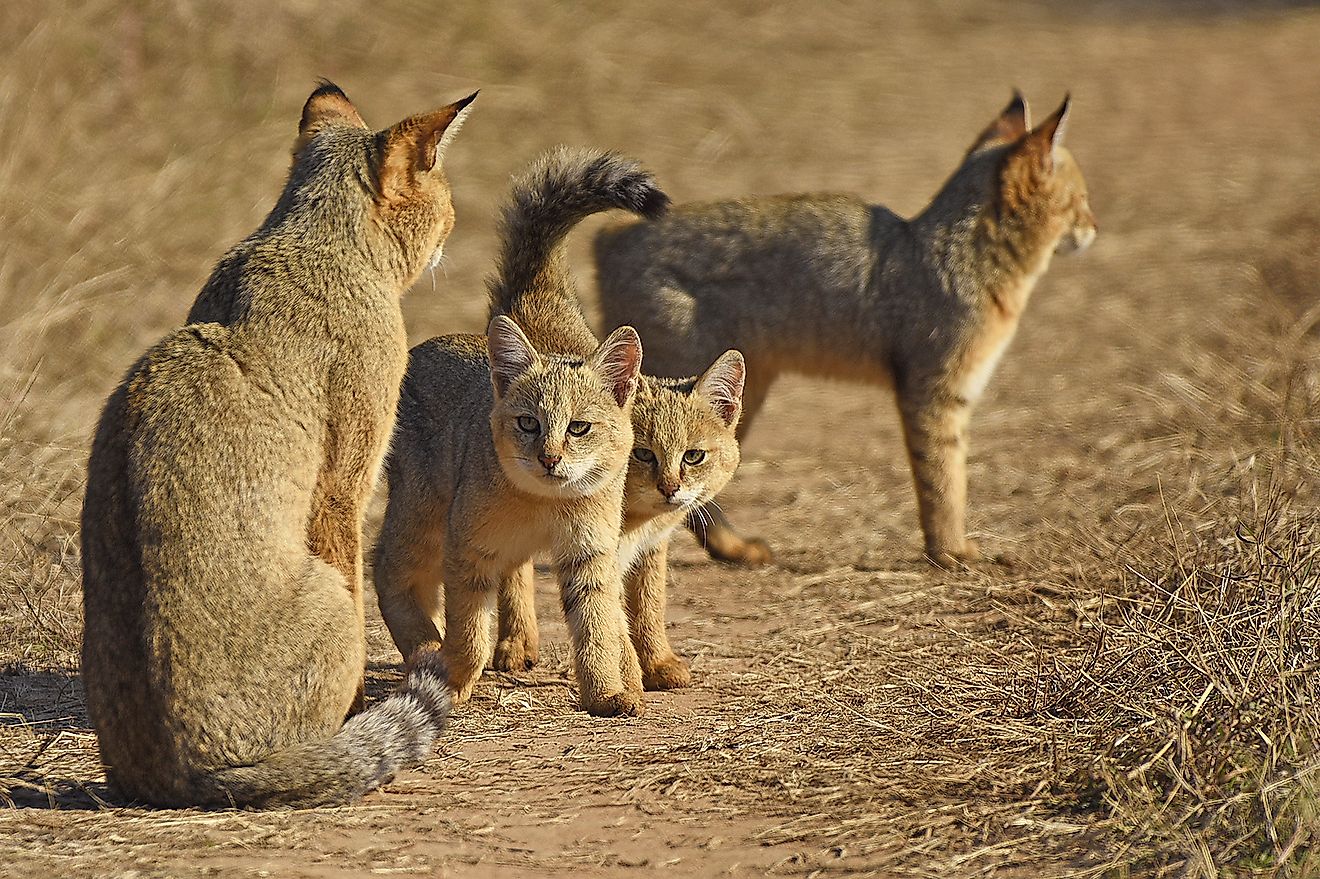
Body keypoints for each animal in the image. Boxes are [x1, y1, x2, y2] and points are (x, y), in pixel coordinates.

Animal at [81, 85, 475, 802]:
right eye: (444, 198)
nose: (454, 225)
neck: (304, 237)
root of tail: (184, 777)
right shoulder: (342, 484)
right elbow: (357, 581)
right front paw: (359, 714)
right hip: (322, 592)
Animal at [477, 147, 749, 686]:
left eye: (694, 456)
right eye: (643, 454)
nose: (670, 489)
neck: (637, 520)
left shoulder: (649, 549)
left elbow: (647, 607)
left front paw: (658, 662)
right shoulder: (601, 550)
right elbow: (611, 622)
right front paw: (626, 675)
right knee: (515, 565)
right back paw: (516, 643)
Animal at [596, 92, 1092, 564]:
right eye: (1080, 201)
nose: (1093, 227)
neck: (960, 252)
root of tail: (612, 236)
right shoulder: (933, 396)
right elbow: (944, 478)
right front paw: (950, 551)